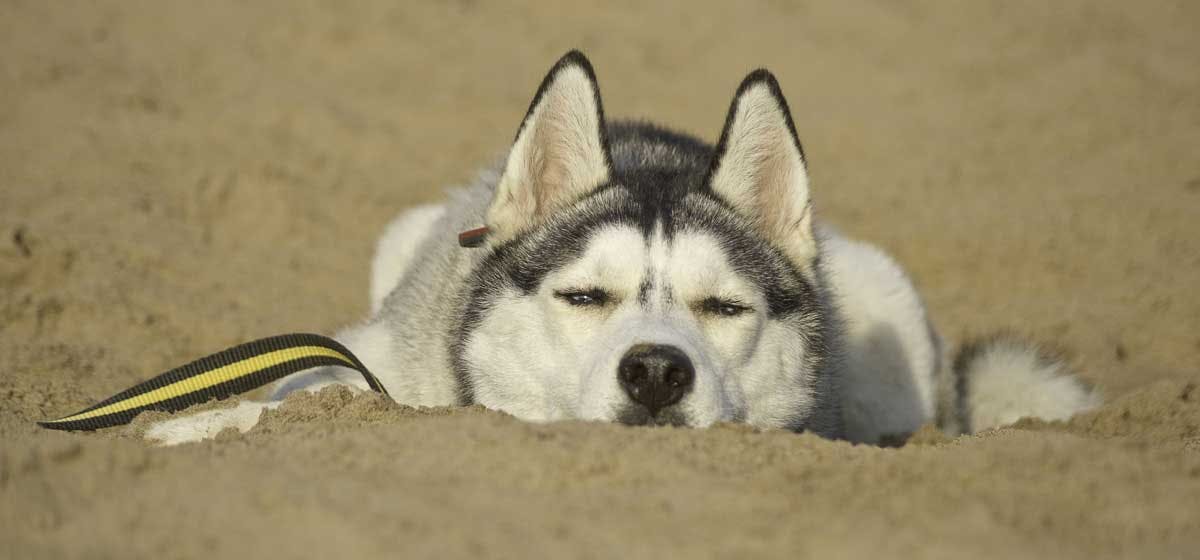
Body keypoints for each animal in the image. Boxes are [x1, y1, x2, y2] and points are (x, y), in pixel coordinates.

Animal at [145, 52, 1099, 446]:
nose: (655, 373)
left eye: (724, 308)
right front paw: (198, 427)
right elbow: (308, 392)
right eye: (583, 297)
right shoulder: (371, 361)